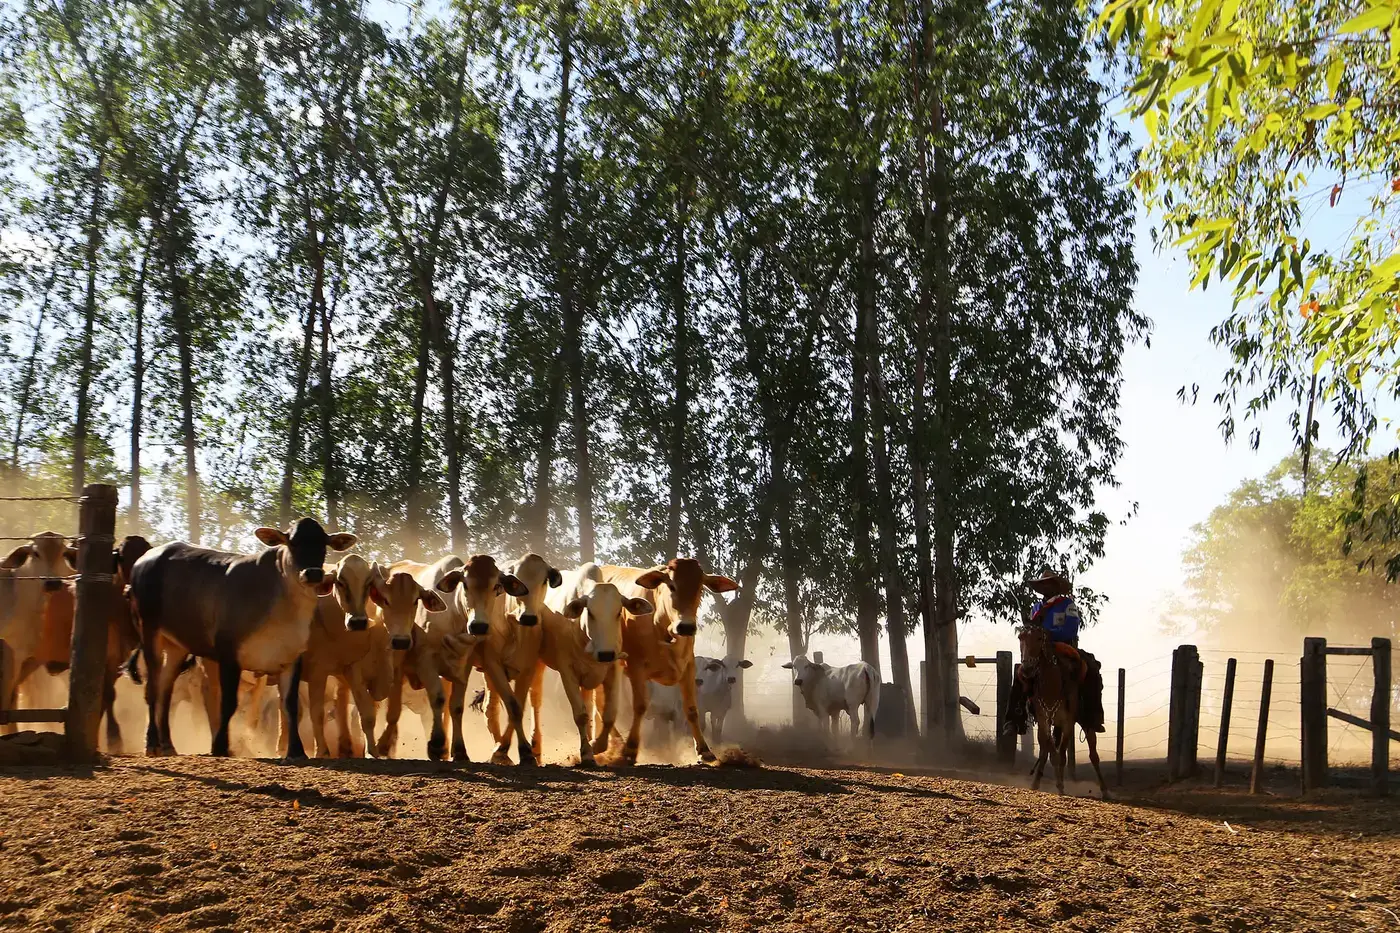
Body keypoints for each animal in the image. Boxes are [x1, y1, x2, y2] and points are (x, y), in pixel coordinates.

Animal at [130, 512, 355, 762]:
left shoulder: (291, 657)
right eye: (292, 542)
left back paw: (168, 745)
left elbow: (290, 705)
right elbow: (227, 703)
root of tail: (146, 559)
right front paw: (220, 747)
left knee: (165, 689)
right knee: (152, 689)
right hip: (149, 632)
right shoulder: (229, 654)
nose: (313, 573)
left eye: (323, 544)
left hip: (176, 645)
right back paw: (152, 744)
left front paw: (296, 751)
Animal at [596, 554, 739, 762]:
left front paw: (704, 751)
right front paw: (630, 749)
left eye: (700, 587)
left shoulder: (688, 669)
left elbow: (692, 710)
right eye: (671, 585)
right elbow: (640, 706)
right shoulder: (636, 668)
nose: (686, 627)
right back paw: (613, 744)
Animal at [1013, 622, 1108, 795]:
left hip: (1086, 722)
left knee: (1093, 754)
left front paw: (1061, 786)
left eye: (1039, 638)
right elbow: (1050, 752)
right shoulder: (1044, 720)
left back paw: (1104, 790)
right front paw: (1054, 783)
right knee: (1047, 750)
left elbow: (1061, 754)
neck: (1053, 684)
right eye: (1020, 637)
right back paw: (1037, 782)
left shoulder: (1068, 722)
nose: (1027, 669)